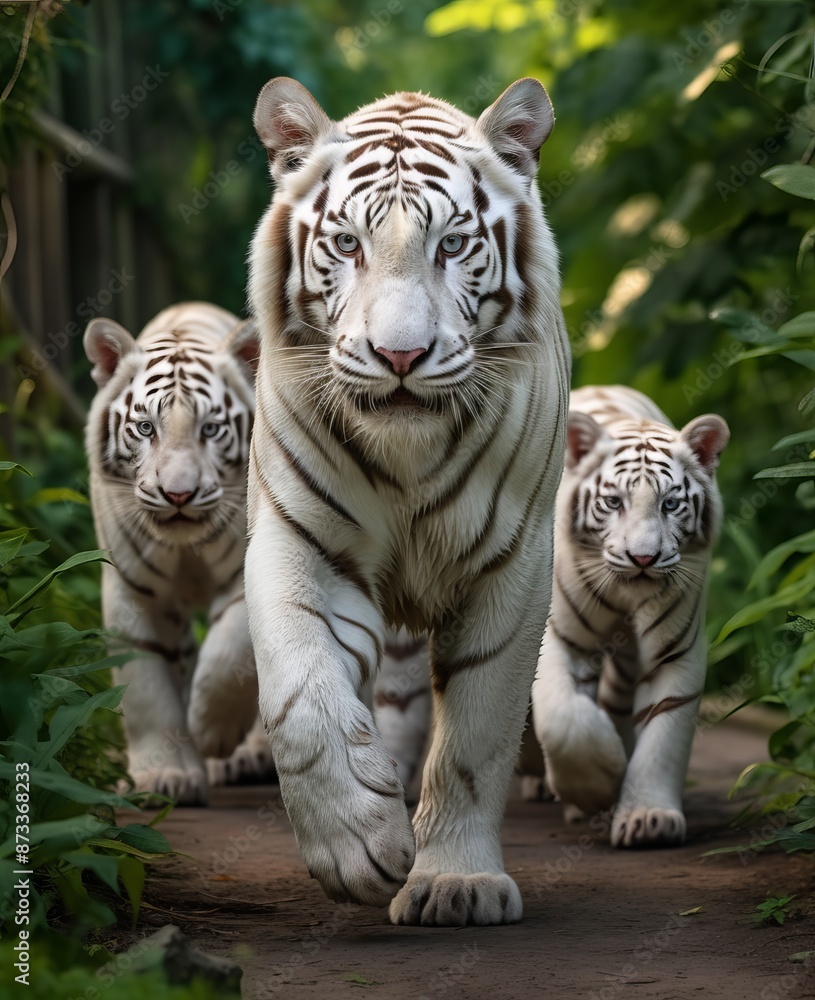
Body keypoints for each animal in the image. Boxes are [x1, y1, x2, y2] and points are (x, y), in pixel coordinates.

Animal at [83, 302, 264, 805]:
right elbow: (146, 686)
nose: (178, 495)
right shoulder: (132, 589)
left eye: (211, 429)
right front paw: (164, 778)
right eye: (146, 428)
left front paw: (212, 730)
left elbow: (232, 648)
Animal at [228, 76, 571, 926]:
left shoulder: (512, 564)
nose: (401, 356)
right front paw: (356, 841)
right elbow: (299, 694)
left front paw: (454, 882)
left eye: (450, 245)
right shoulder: (299, 539)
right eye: (347, 244)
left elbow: (475, 736)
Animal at [531, 385, 729, 847]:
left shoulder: (675, 653)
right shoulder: (559, 638)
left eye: (671, 504)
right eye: (613, 502)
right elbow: (565, 720)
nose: (643, 558)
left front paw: (648, 818)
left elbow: (663, 734)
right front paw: (600, 784)